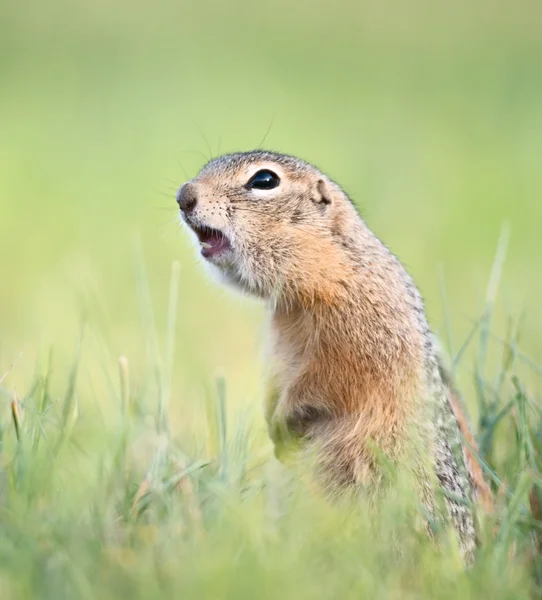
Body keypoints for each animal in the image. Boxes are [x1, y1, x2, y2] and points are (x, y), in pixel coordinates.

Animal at [176, 149, 496, 556]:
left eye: (264, 180)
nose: (184, 195)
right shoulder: (279, 342)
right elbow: (277, 379)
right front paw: (273, 420)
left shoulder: (353, 334)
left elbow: (329, 379)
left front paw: (284, 420)